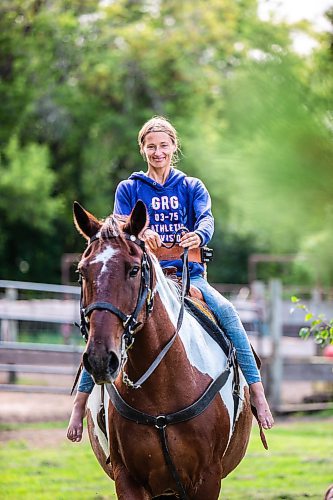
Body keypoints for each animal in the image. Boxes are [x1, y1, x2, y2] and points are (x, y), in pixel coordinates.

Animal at [72, 200, 252, 500]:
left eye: (134, 270)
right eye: (82, 273)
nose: (100, 358)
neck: (163, 389)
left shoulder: (208, 479)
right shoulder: (127, 479)